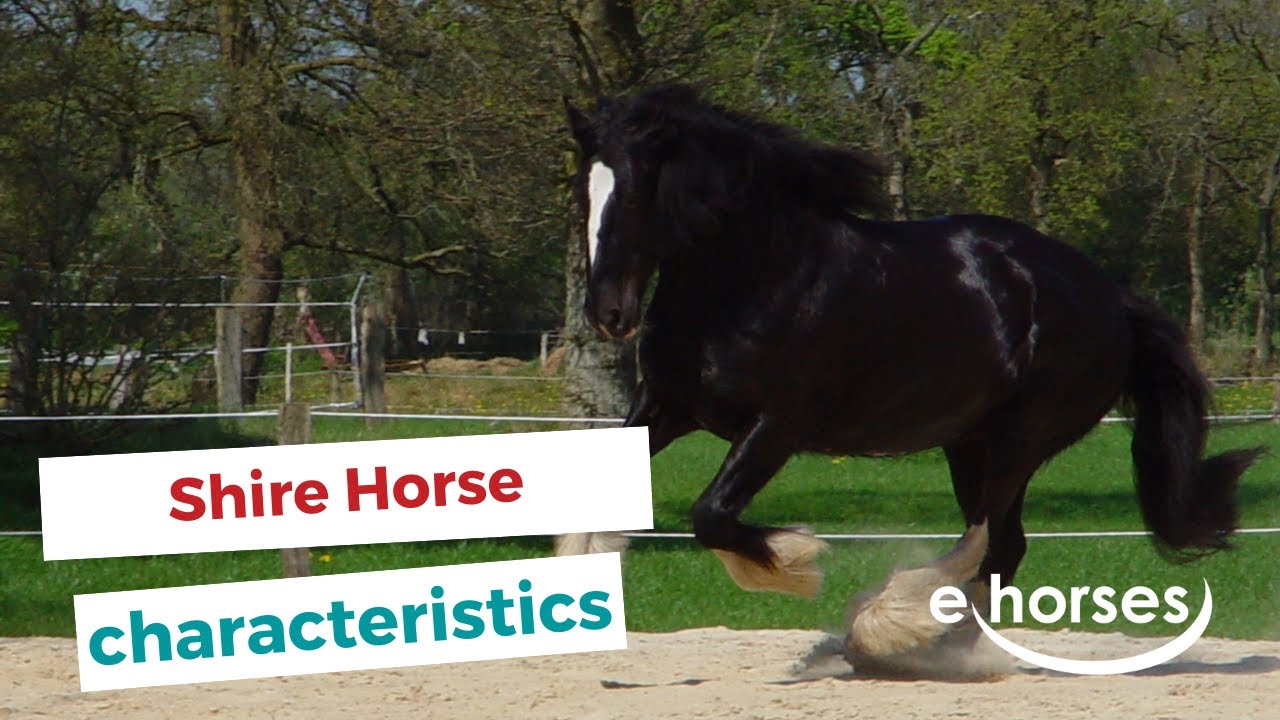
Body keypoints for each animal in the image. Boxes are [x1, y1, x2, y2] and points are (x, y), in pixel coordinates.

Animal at [556, 84, 1262, 663]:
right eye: (583, 190)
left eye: (639, 189)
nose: (608, 313)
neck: (752, 278)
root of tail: (1113, 299)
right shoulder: (666, 407)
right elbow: (599, 493)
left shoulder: (776, 426)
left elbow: (712, 515)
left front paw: (796, 558)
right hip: (968, 443)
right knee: (1003, 547)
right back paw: (933, 647)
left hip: (1021, 440)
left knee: (988, 540)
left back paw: (895, 634)